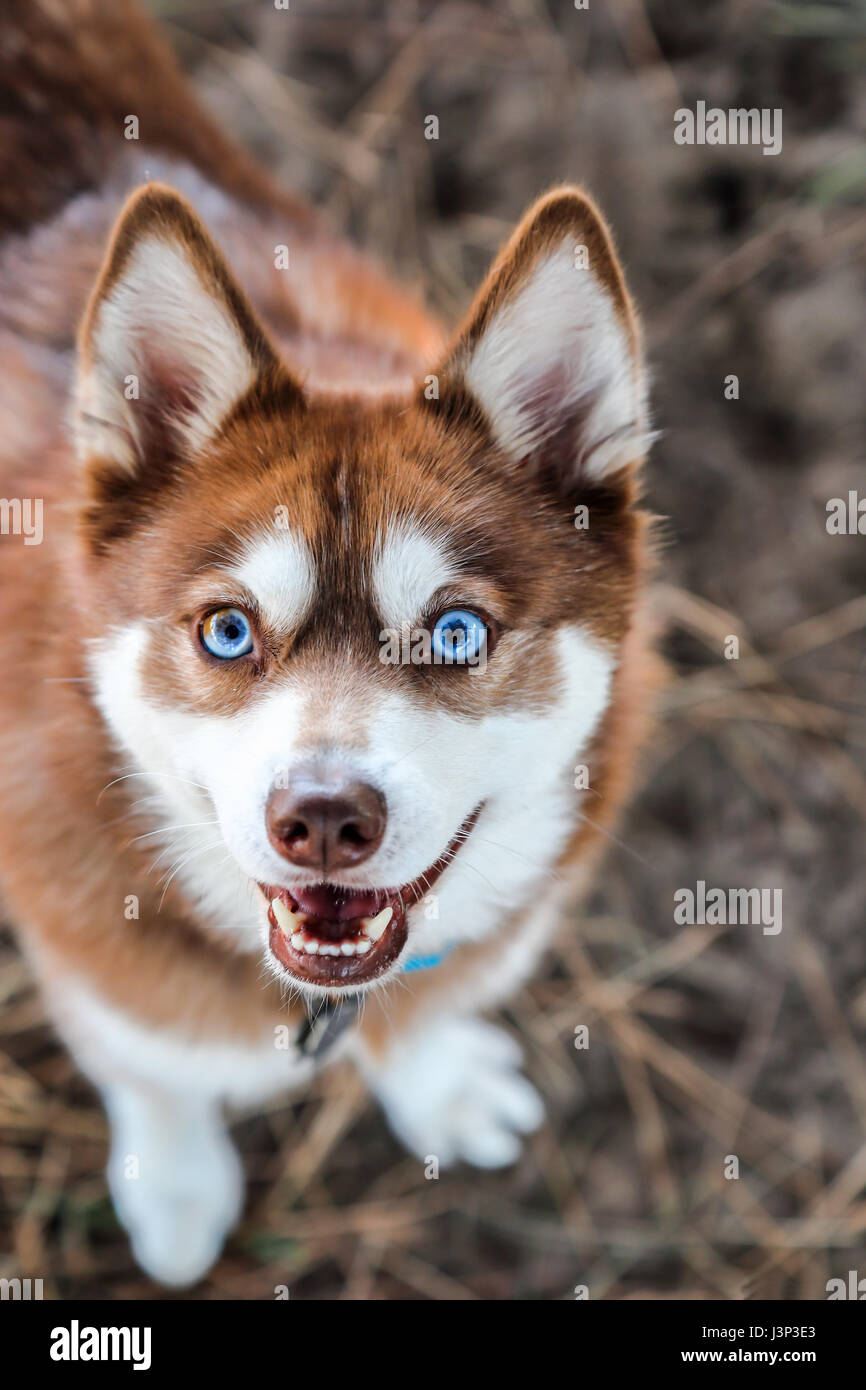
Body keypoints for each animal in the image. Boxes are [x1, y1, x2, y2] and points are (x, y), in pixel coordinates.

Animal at [0, 0, 656, 1284]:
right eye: (226, 630)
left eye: (454, 631)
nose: (320, 818)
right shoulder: (89, 946)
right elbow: (149, 1063)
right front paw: (177, 1180)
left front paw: (436, 1081)